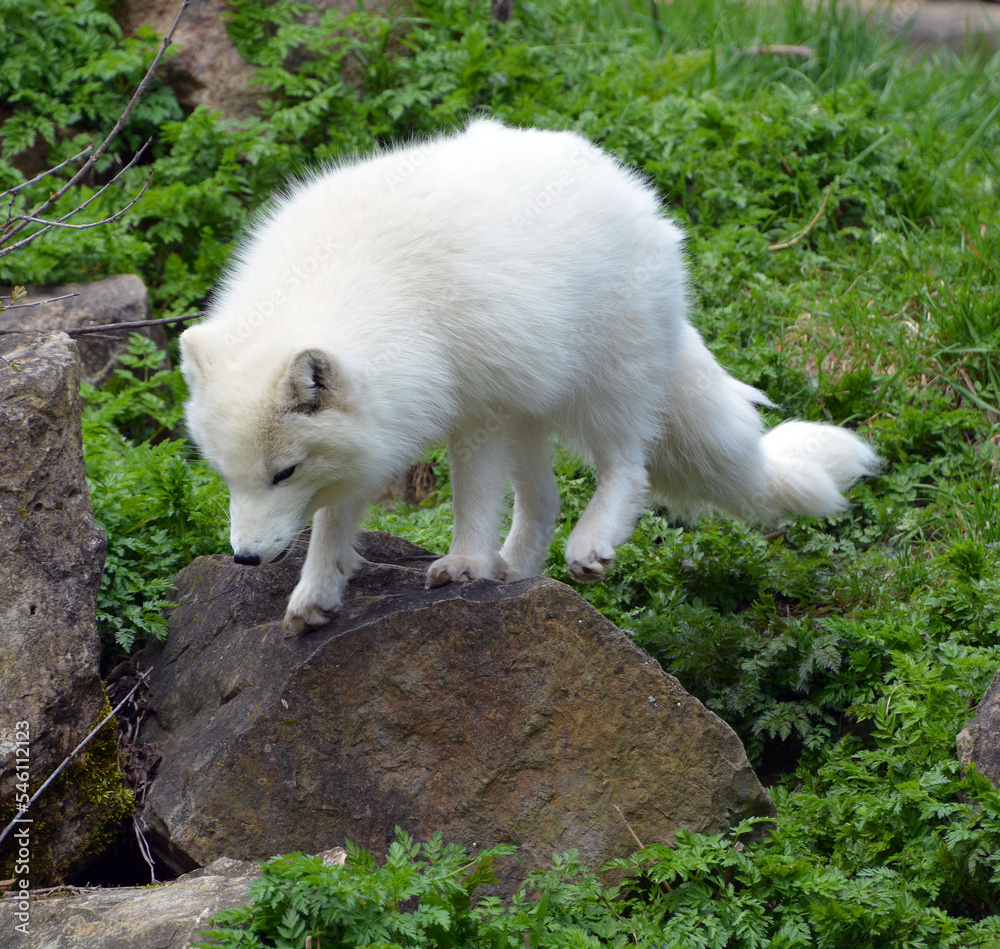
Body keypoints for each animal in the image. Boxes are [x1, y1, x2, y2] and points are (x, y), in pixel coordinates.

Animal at [178, 122, 876, 632]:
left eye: (284, 473)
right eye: (229, 477)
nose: (244, 558)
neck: (374, 289)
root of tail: (627, 183)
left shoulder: (473, 408)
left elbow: (471, 499)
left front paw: (462, 561)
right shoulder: (378, 429)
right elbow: (332, 519)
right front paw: (316, 591)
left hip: (600, 387)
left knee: (629, 467)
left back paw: (584, 543)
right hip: (528, 412)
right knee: (545, 500)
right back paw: (512, 570)